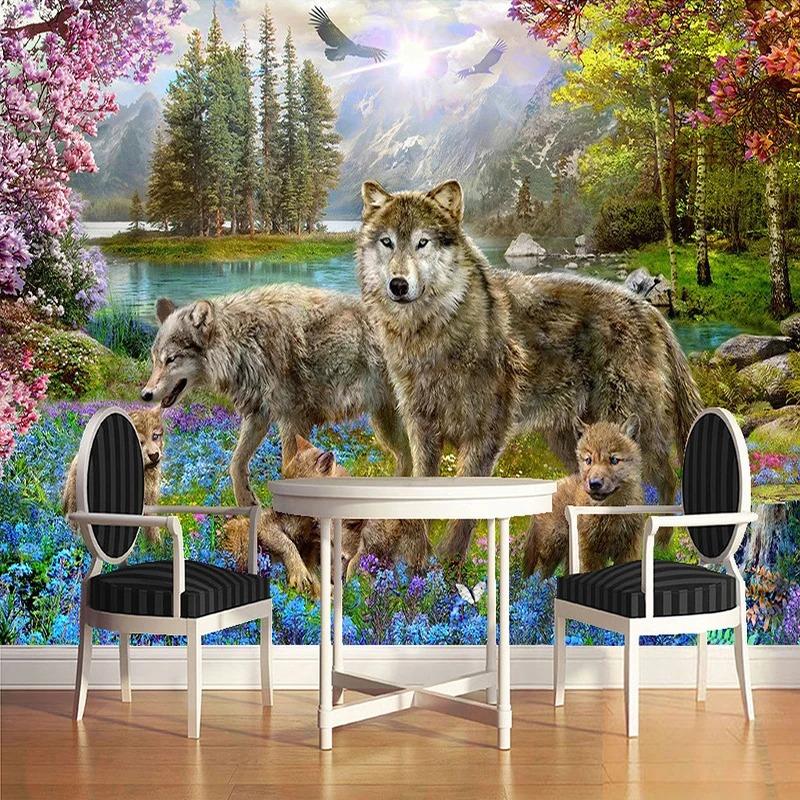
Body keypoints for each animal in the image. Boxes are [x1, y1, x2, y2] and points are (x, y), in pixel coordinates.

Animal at [62, 406, 165, 542]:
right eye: (139, 442)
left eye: (155, 436)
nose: (154, 455)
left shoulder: (150, 500)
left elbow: (152, 528)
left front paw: (156, 545)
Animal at [141, 285, 412, 507]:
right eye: (154, 360)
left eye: (171, 359)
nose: (145, 394)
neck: (245, 344)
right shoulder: (258, 416)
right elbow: (235, 465)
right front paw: (247, 503)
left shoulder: (293, 420)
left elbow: (289, 469)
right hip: (385, 426)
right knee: (406, 459)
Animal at [356, 179, 702, 561]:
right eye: (387, 242)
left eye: (422, 242)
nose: (398, 285)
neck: (433, 336)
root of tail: (652, 312)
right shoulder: (421, 429)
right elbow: (421, 495)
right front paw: (416, 559)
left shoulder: (486, 433)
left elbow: (464, 507)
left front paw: (447, 563)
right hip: (574, 446)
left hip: (627, 427)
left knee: (665, 479)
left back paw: (659, 545)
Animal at [523, 417, 644, 578]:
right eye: (588, 460)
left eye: (614, 460)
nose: (594, 483)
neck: (610, 514)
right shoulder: (588, 550)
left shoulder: (630, 548)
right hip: (550, 551)